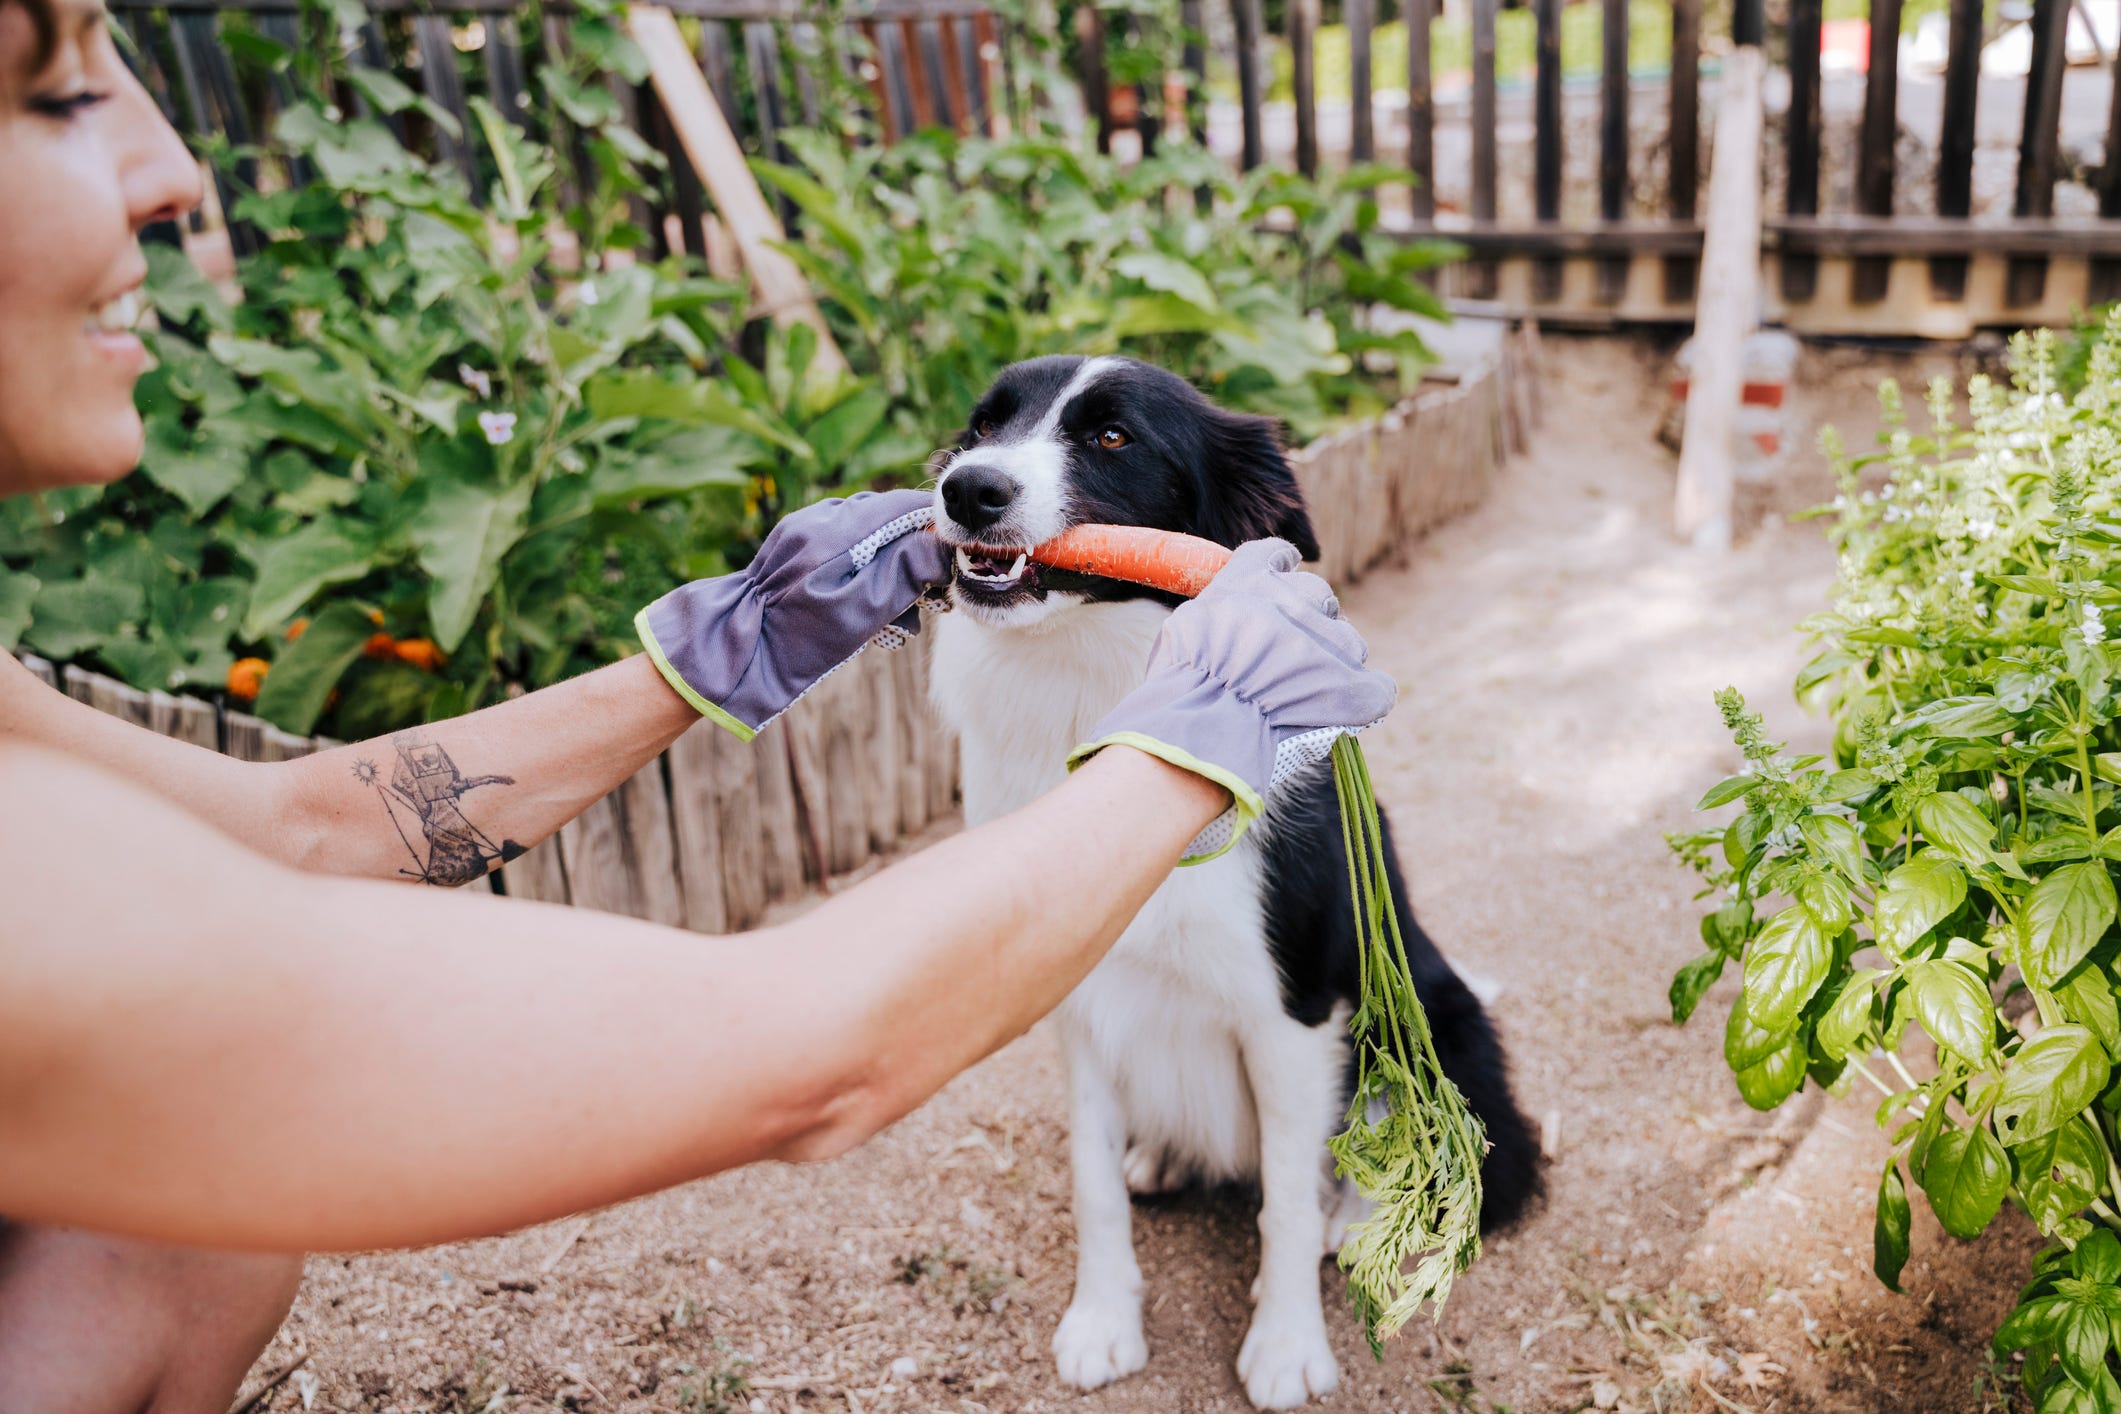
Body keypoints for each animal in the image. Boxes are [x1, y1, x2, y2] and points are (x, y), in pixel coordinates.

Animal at [920, 354, 1535, 1407]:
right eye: (983, 425)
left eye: (1112, 437)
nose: (967, 488)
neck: (1095, 689)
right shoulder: (1078, 997)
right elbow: (1089, 1181)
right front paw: (1102, 1322)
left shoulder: (1290, 1011)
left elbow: (1284, 1202)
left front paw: (1286, 1348)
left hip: (1427, 1019)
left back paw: (1356, 1217)